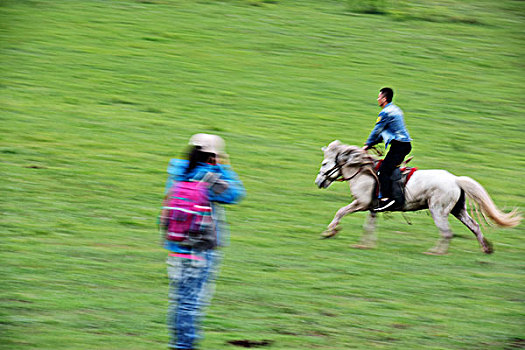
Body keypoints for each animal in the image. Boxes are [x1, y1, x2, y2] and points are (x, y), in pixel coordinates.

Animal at [316, 140, 520, 254]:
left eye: (325, 163)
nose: (318, 181)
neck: (363, 172)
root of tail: (456, 180)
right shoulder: (373, 208)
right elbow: (369, 226)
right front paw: (364, 246)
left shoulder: (361, 203)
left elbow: (340, 211)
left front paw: (330, 232)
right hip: (458, 210)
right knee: (475, 227)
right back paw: (486, 248)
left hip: (438, 210)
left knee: (447, 232)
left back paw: (435, 252)